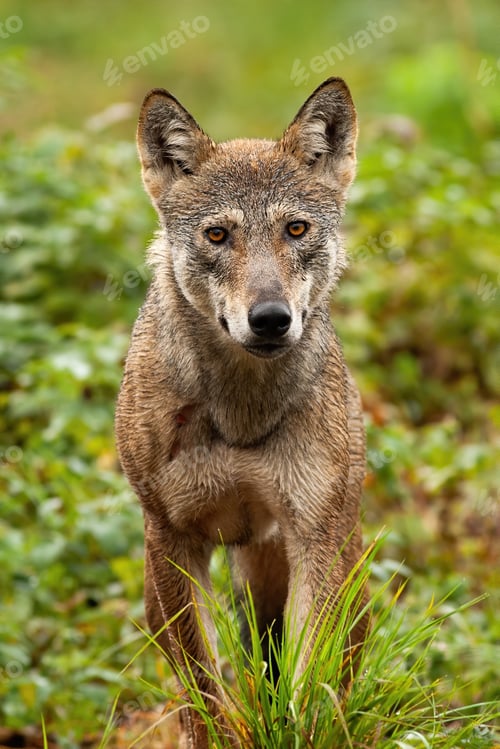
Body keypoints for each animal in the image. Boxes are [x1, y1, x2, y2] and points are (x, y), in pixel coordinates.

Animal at [115, 77, 368, 748]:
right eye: (217, 236)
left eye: (296, 230)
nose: (271, 318)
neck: (241, 415)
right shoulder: (172, 537)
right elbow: (204, 687)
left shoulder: (316, 538)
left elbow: (308, 685)